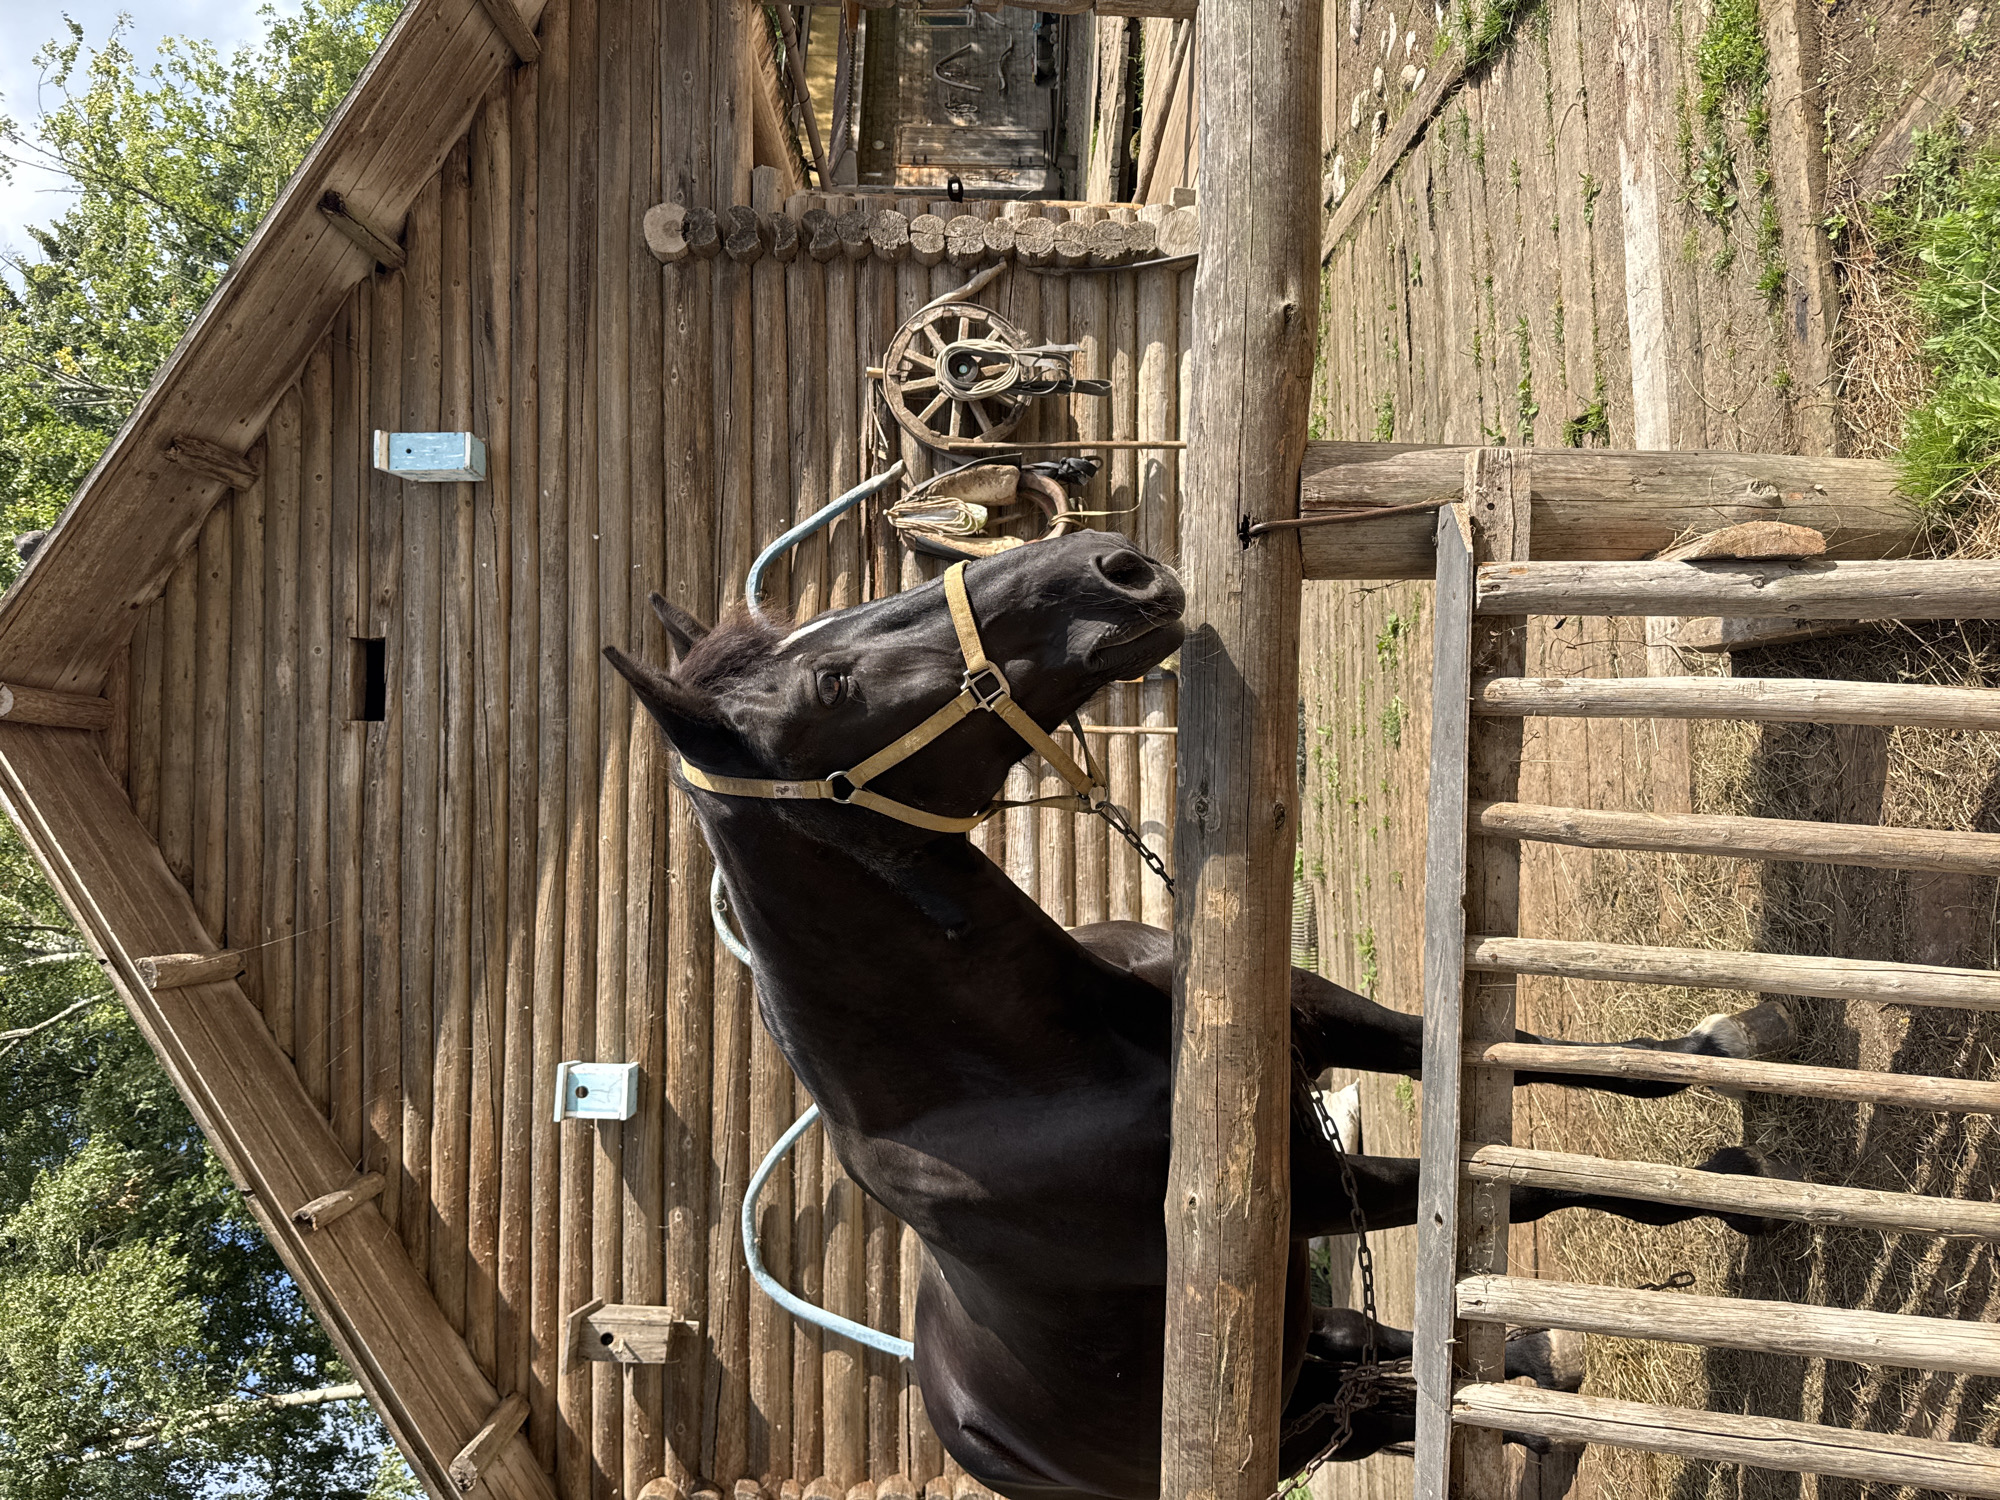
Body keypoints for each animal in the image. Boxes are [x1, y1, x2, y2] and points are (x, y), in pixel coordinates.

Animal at [604, 530, 1792, 1500]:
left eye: (822, 637)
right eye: (831, 682)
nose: (1110, 565)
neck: (1029, 1072)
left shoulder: (1311, 1019)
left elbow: (1520, 1051)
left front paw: (1720, 1043)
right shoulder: (1307, 1192)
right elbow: (1537, 1187)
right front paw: (1738, 1194)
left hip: (1309, 1354)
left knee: (1387, 1362)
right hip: (1293, 1413)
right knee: (1389, 1402)